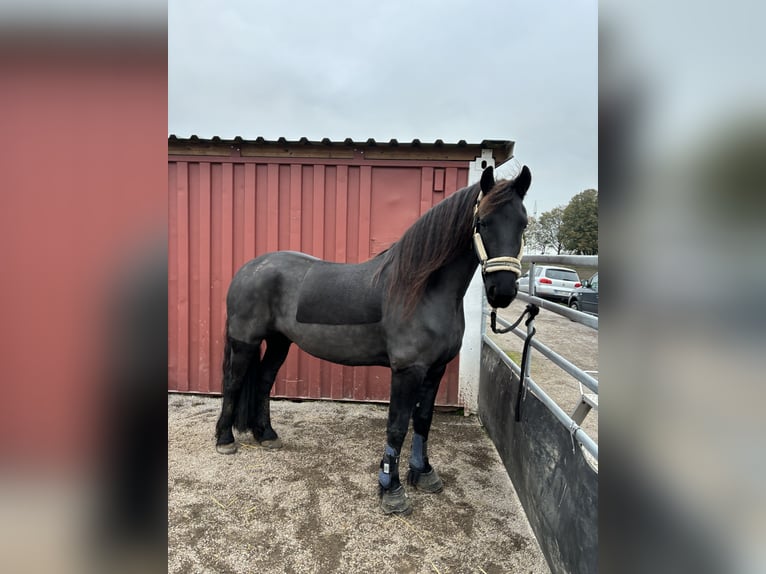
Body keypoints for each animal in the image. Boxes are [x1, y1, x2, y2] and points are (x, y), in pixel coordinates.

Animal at [214, 165, 531, 515]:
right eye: (483, 222)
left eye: (523, 223)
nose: (503, 291)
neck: (423, 290)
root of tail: (248, 270)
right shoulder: (407, 370)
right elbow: (397, 425)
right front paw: (391, 490)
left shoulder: (435, 369)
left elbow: (423, 420)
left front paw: (423, 473)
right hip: (245, 342)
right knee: (233, 383)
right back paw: (225, 440)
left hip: (279, 343)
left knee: (264, 381)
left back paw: (266, 434)